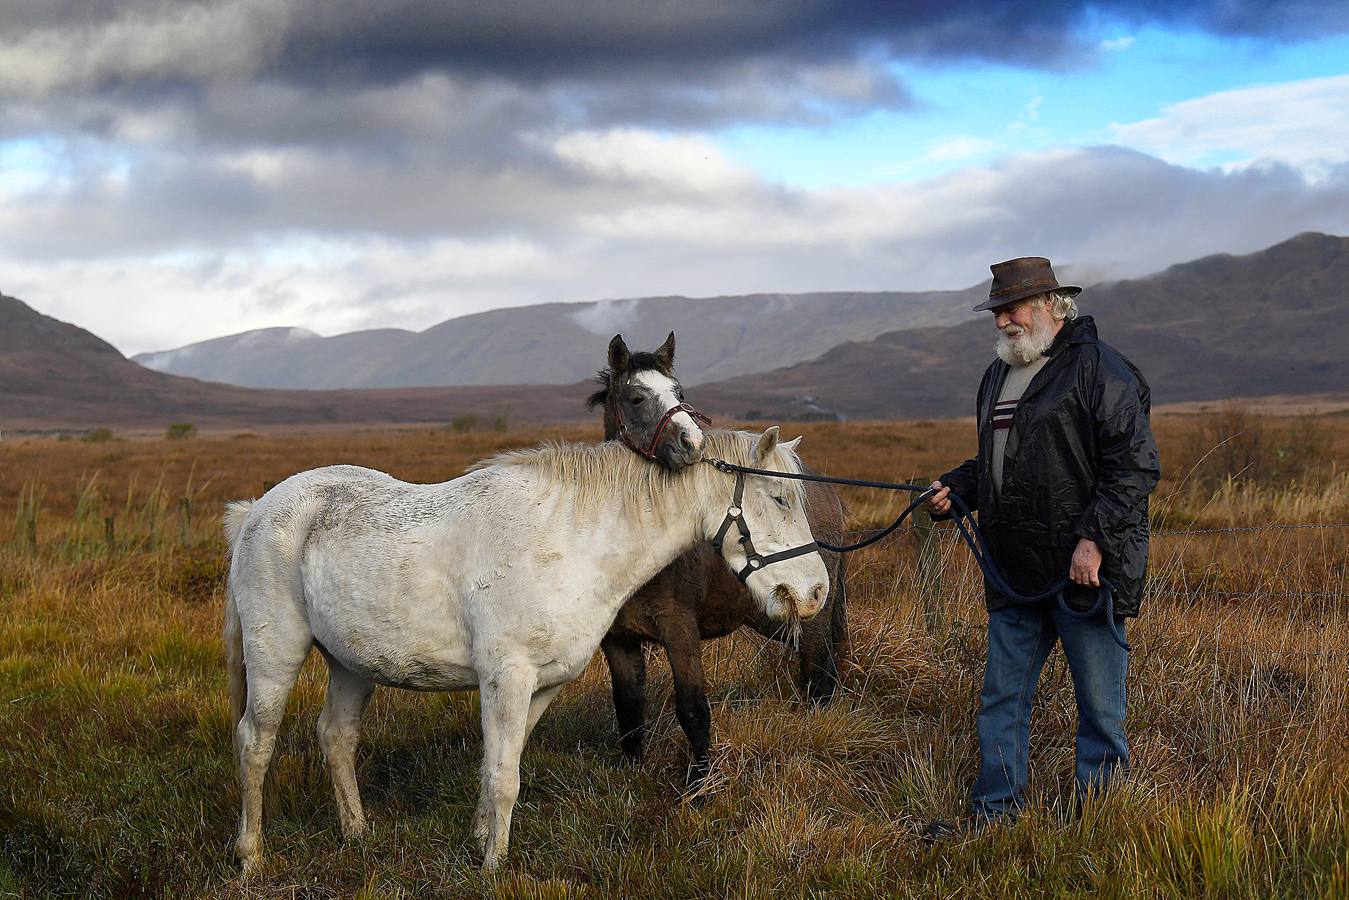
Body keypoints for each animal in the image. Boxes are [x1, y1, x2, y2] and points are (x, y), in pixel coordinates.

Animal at [223, 429, 820, 874]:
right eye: (779, 498)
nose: (815, 593)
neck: (570, 541)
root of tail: (257, 511)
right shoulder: (505, 676)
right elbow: (505, 776)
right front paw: (493, 865)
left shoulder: (543, 684)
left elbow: (498, 765)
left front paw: (480, 839)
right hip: (276, 652)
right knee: (256, 742)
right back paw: (251, 856)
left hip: (351, 663)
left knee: (337, 738)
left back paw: (357, 834)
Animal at [588, 333, 847, 782]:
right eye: (637, 398)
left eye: (680, 393)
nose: (693, 444)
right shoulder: (619, 642)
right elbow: (629, 712)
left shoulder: (681, 632)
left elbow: (693, 712)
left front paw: (701, 784)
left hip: (810, 617)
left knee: (818, 675)